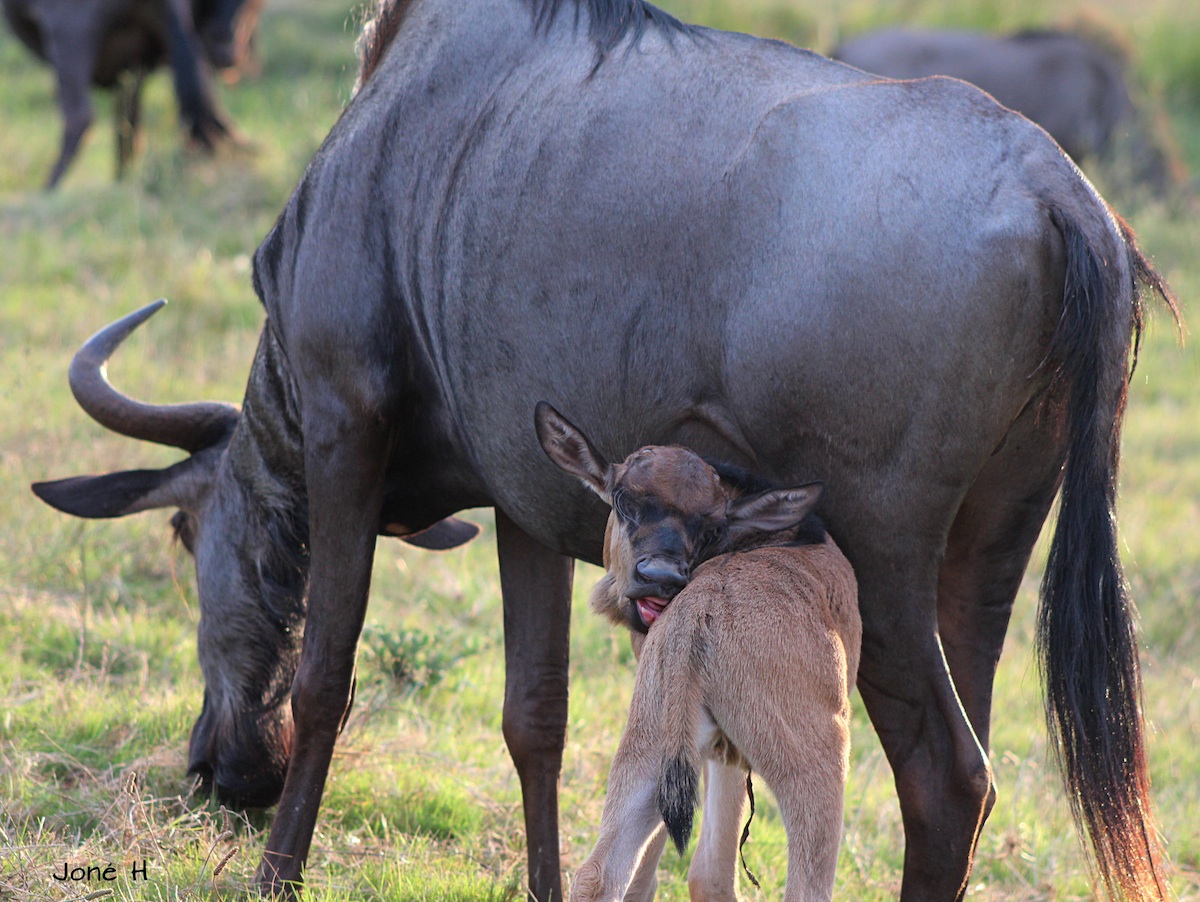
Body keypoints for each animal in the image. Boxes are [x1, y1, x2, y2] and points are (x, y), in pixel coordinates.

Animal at [537, 405, 864, 902]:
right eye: (623, 501)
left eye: (711, 526)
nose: (659, 578)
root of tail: (700, 608)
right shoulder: (730, 757)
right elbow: (711, 870)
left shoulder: (710, 750)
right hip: (817, 764)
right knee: (804, 886)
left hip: (651, 742)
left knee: (599, 874)